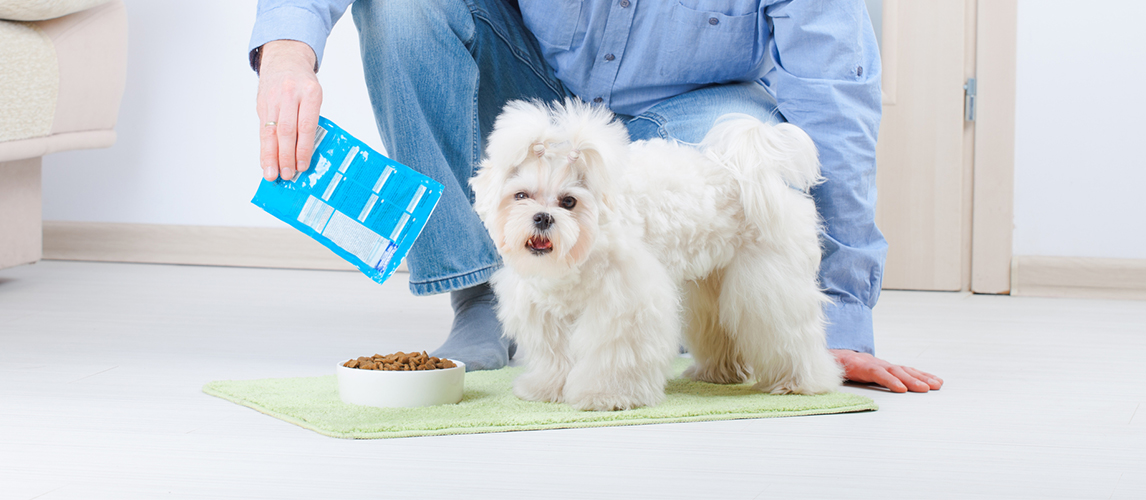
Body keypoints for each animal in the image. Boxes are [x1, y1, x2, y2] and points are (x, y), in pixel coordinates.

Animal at [467, 98, 843, 410]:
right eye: (521, 196)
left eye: (569, 201)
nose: (543, 218)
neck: (583, 249)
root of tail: (749, 170)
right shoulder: (545, 311)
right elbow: (555, 356)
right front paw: (550, 388)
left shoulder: (623, 302)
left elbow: (613, 354)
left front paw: (607, 395)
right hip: (710, 285)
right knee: (720, 329)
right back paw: (719, 372)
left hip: (767, 285)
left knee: (789, 334)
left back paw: (799, 382)